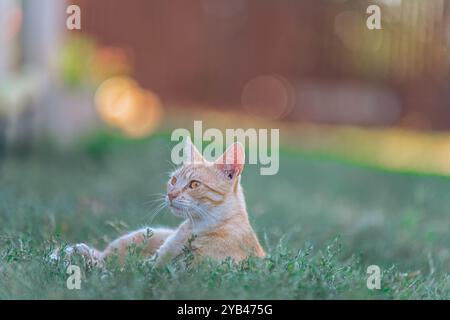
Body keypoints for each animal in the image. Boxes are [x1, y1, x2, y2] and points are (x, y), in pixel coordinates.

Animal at [68, 138, 266, 268]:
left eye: (194, 184)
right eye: (174, 180)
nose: (171, 194)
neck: (197, 227)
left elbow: (123, 270)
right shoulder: (159, 256)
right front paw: (81, 255)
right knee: (105, 254)